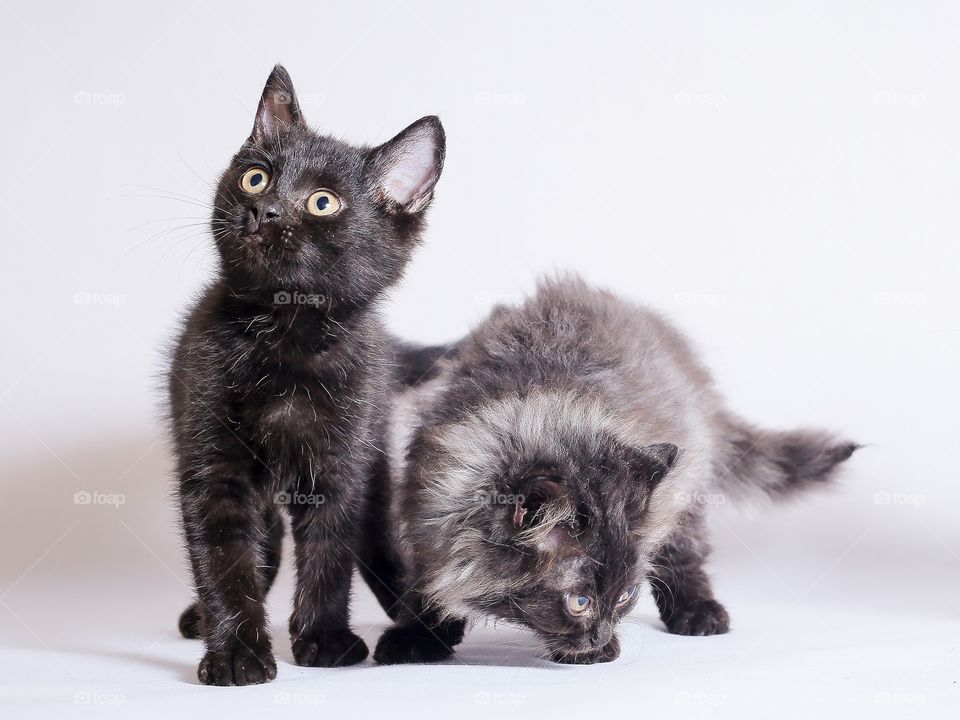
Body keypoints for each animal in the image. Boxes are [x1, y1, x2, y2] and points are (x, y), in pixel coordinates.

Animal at [167, 64, 444, 684]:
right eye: (255, 177)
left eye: (322, 202)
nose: (263, 210)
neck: (286, 333)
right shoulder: (213, 461)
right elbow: (224, 557)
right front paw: (236, 652)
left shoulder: (340, 464)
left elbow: (330, 552)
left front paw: (323, 639)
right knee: (262, 538)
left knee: (378, 538)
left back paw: (421, 619)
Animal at [364, 274, 860, 664]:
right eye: (580, 601)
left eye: (624, 597)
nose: (600, 634)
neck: (543, 416)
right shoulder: (425, 510)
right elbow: (425, 580)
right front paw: (417, 633)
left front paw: (597, 651)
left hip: (684, 487)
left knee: (687, 552)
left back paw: (699, 612)